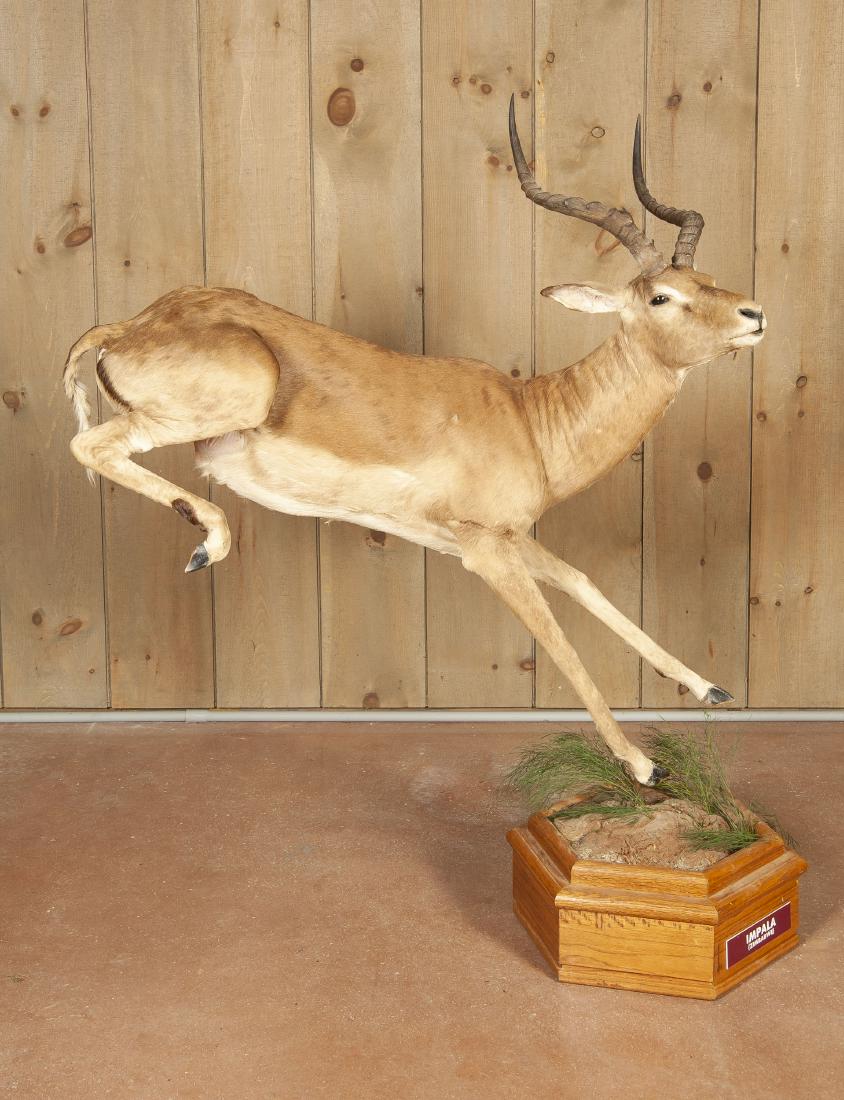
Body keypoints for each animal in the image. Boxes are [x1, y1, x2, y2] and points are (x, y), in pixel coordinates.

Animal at [63, 98, 765, 786]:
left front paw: (710, 688)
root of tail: (131, 325)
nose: (754, 314)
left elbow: (583, 581)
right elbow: (557, 639)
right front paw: (643, 764)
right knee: (90, 448)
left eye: (706, 279)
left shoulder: (499, 537)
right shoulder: (486, 549)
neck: (531, 421)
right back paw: (207, 546)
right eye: (661, 296)